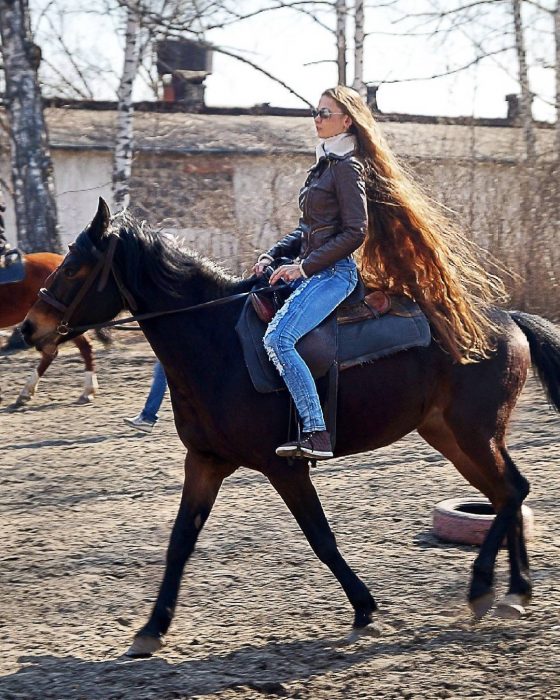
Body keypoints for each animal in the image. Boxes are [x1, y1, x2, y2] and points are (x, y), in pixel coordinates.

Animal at [20, 201, 560, 656]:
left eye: (74, 266)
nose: (27, 328)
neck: (216, 344)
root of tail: (506, 319)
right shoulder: (205, 462)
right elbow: (180, 542)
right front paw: (151, 629)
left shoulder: (285, 468)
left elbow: (321, 538)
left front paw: (365, 610)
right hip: (452, 436)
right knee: (506, 494)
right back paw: (515, 592)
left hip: (472, 433)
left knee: (512, 491)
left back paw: (485, 587)